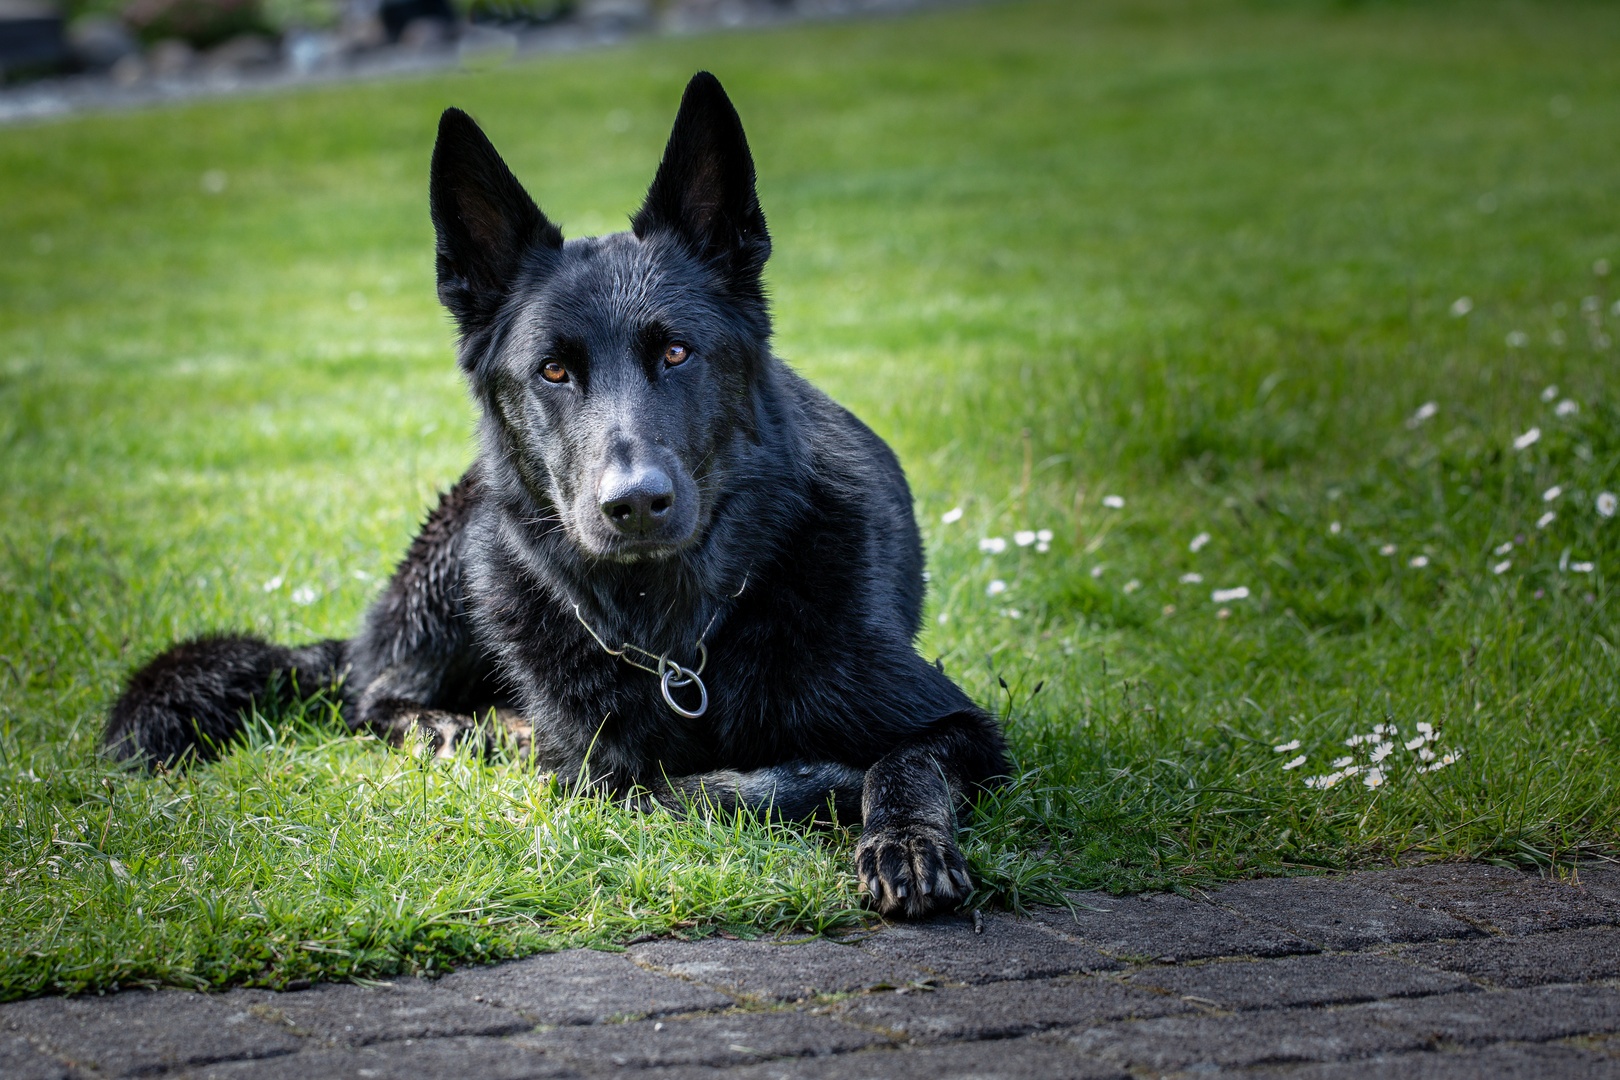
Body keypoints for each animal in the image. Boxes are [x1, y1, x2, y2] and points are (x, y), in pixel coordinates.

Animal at [104, 74, 997, 919]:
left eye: (677, 353)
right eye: (554, 371)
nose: (634, 504)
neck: (674, 645)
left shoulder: (963, 724)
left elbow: (900, 763)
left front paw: (903, 839)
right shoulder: (598, 776)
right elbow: (696, 786)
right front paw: (814, 782)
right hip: (461, 554)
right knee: (371, 692)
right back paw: (456, 725)